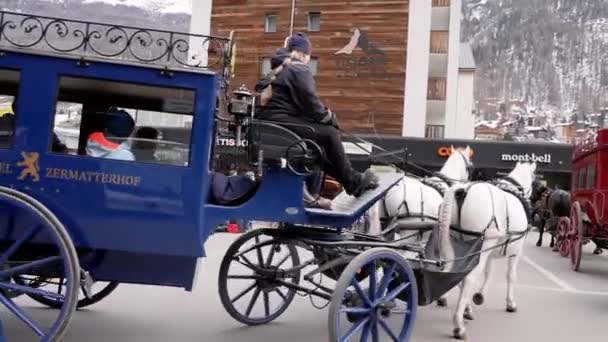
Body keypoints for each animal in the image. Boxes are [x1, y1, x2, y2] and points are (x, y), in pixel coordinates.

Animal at [440, 162, 536, 340]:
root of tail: (463, 190)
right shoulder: (515, 251)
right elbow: (511, 275)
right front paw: (510, 303)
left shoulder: (490, 252)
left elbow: (488, 272)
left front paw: (478, 296)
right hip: (482, 245)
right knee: (469, 277)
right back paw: (458, 326)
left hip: (458, 243)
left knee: (456, 272)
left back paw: (461, 308)